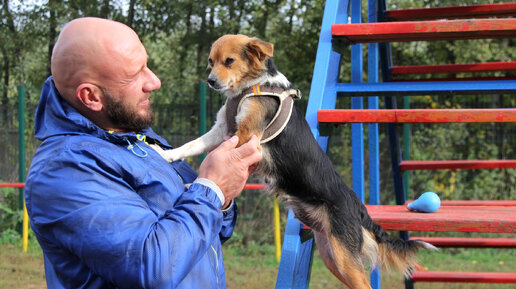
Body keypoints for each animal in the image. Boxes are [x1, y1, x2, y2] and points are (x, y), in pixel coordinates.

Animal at [161, 35, 436, 288]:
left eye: (229, 61)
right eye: (211, 62)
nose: (210, 81)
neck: (251, 86)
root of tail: (359, 208)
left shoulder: (246, 136)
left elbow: (216, 160)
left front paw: (196, 184)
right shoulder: (221, 131)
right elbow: (193, 145)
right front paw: (167, 155)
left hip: (344, 258)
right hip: (332, 256)